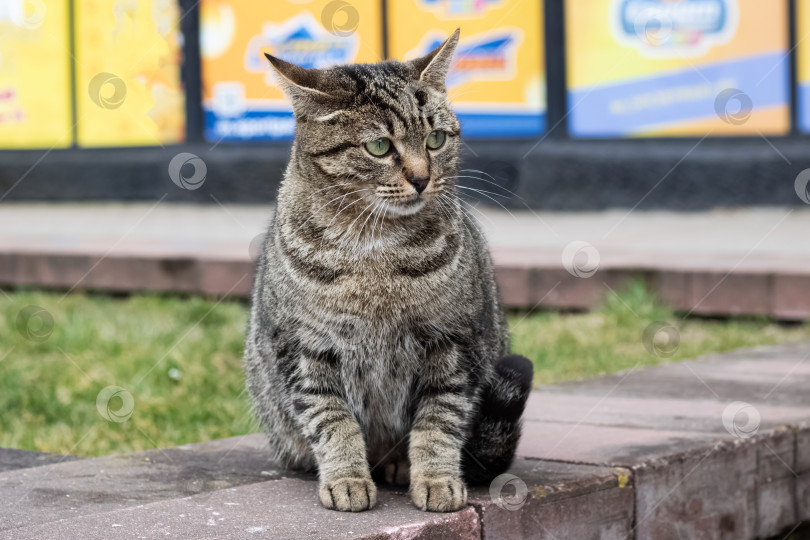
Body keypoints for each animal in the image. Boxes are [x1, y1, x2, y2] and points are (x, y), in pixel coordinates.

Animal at [246, 30, 536, 516]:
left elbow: (439, 421)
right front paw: (346, 479)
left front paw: (437, 479)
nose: (421, 178)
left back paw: (400, 464)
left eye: (436, 139)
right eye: (379, 146)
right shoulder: (304, 350)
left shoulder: (453, 344)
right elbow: (332, 422)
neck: (375, 250)